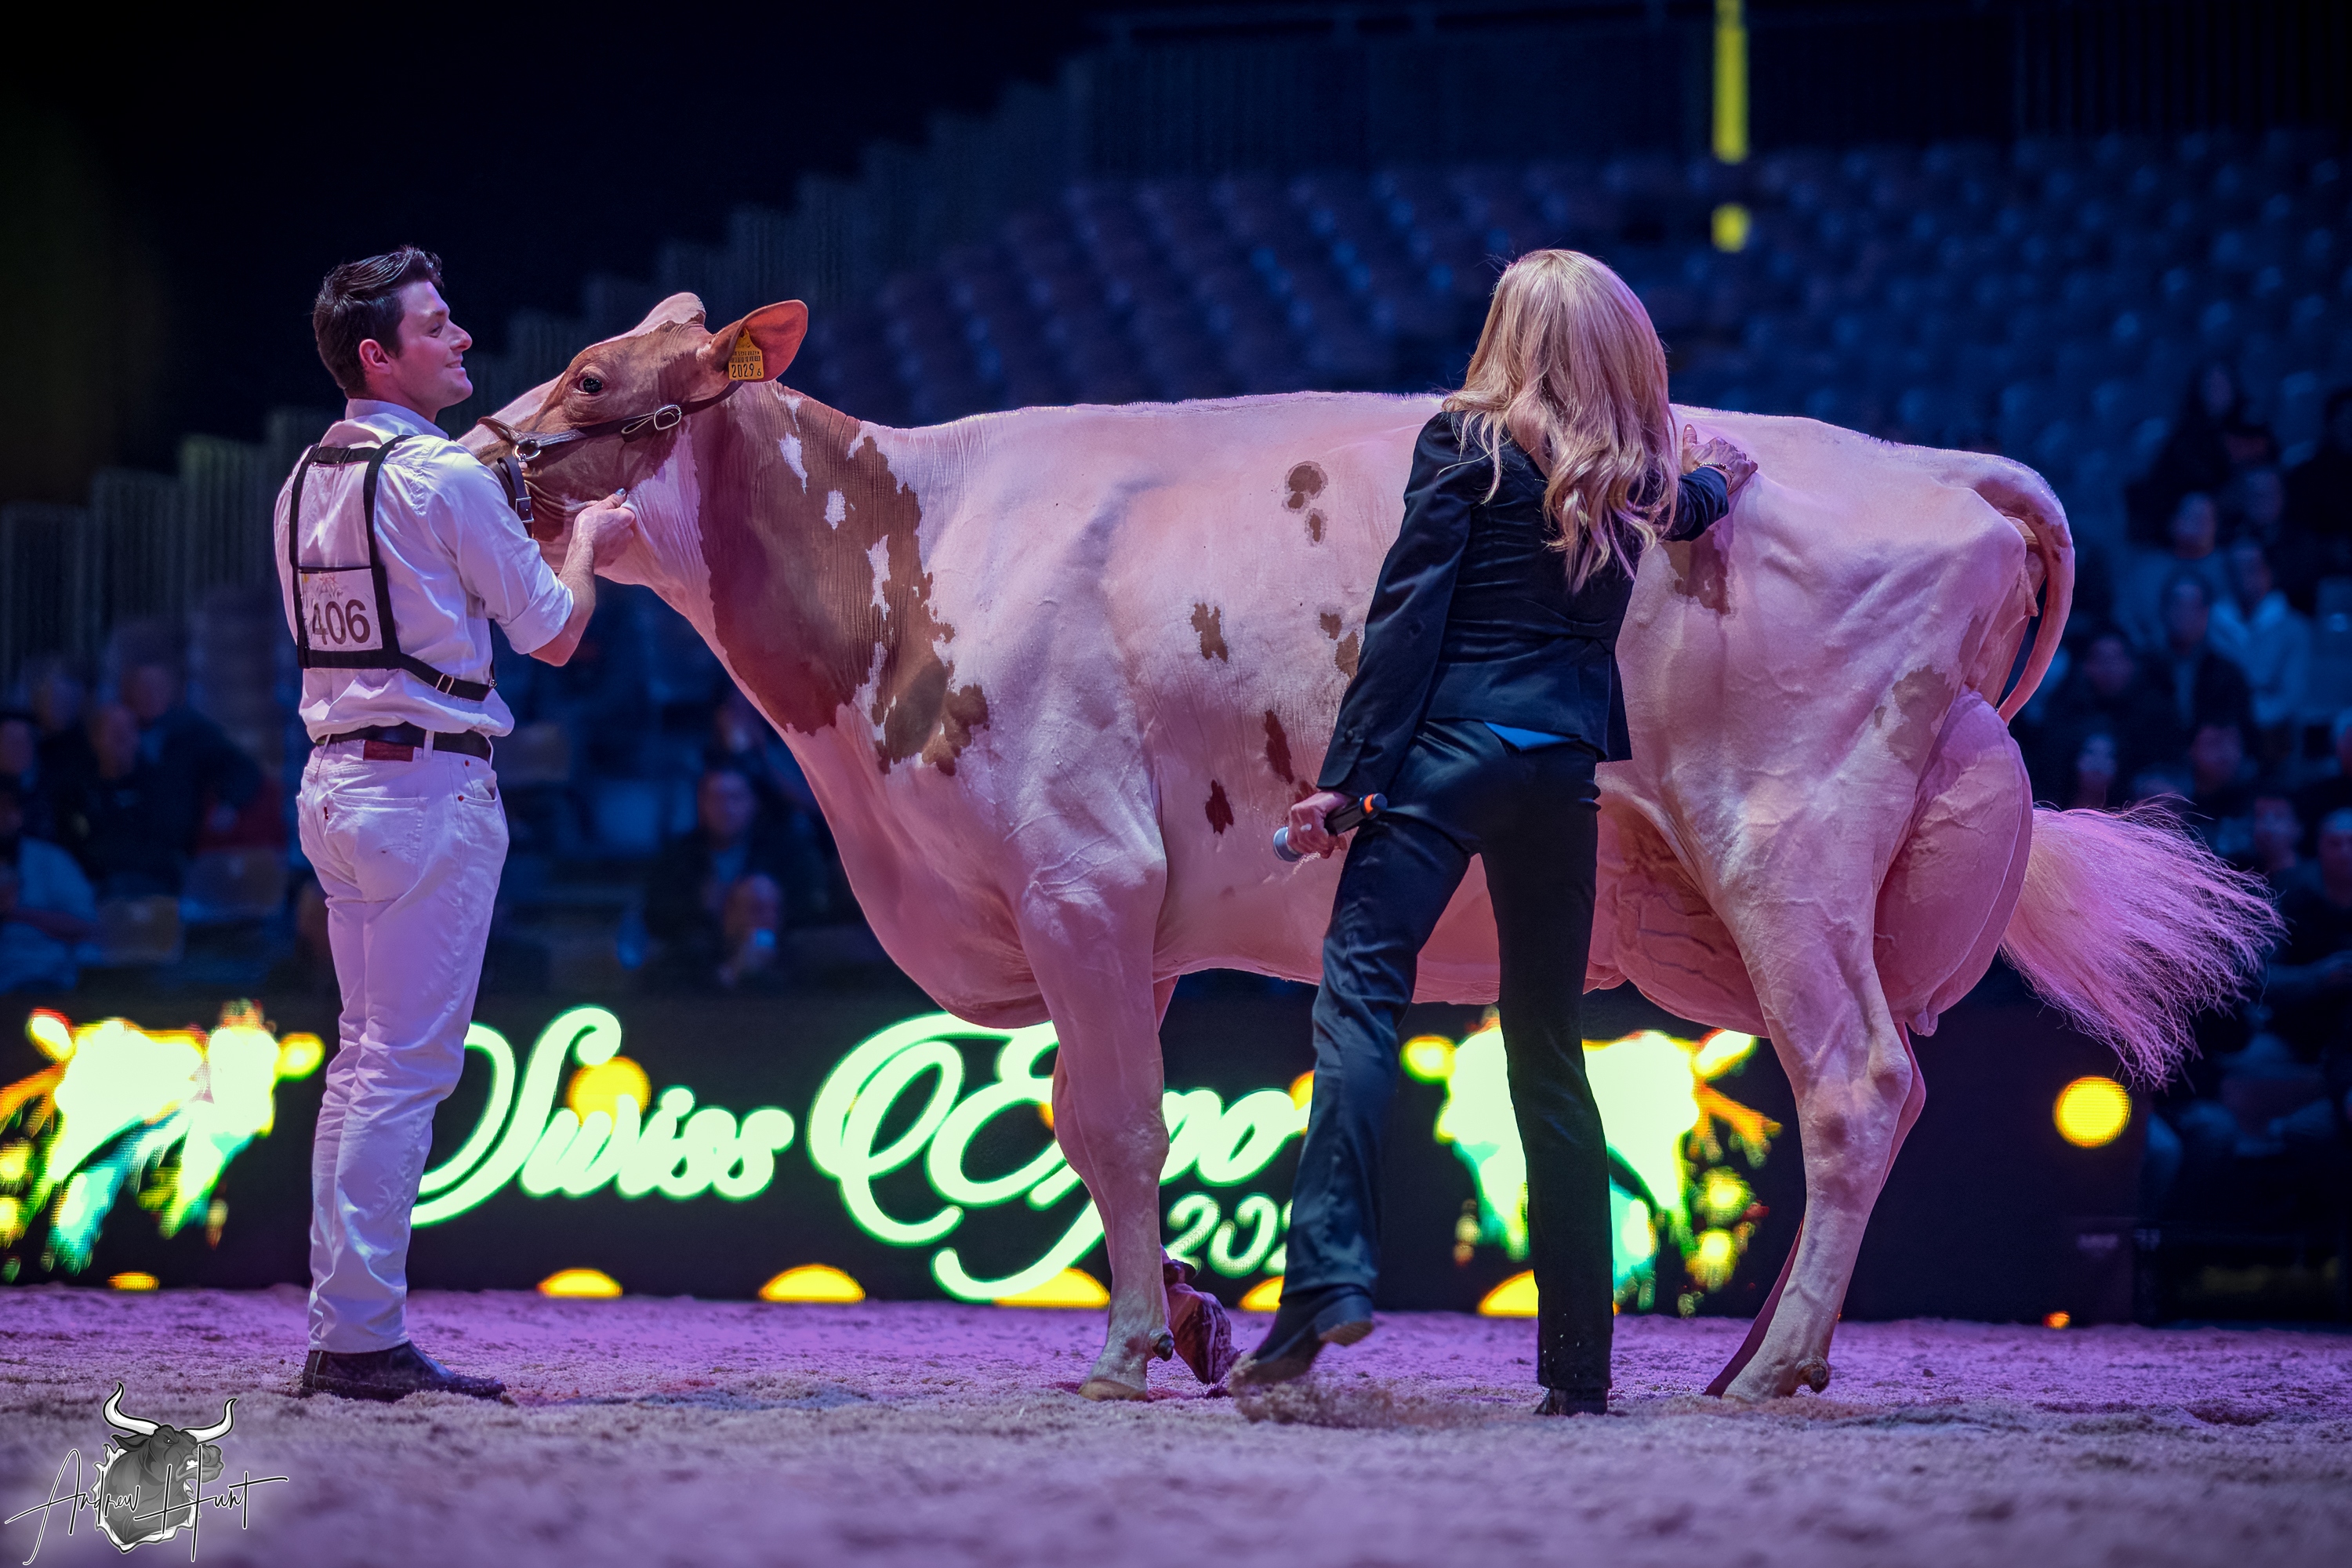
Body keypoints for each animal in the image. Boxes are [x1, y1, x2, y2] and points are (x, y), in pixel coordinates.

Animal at [465, 293, 2271, 1403]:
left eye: (601, 382)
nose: (480, 454)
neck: (910, 558)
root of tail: (1939, 466)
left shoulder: (1078, 871)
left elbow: (1114, 1123)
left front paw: (1131, 1346)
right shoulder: (1106, 914)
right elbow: (1090, 1125)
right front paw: (1196, 1319)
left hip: (1792, 845)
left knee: (1859, 1083)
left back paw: (1768, 1367)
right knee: (1868, 1084)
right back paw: (1769, 1350)